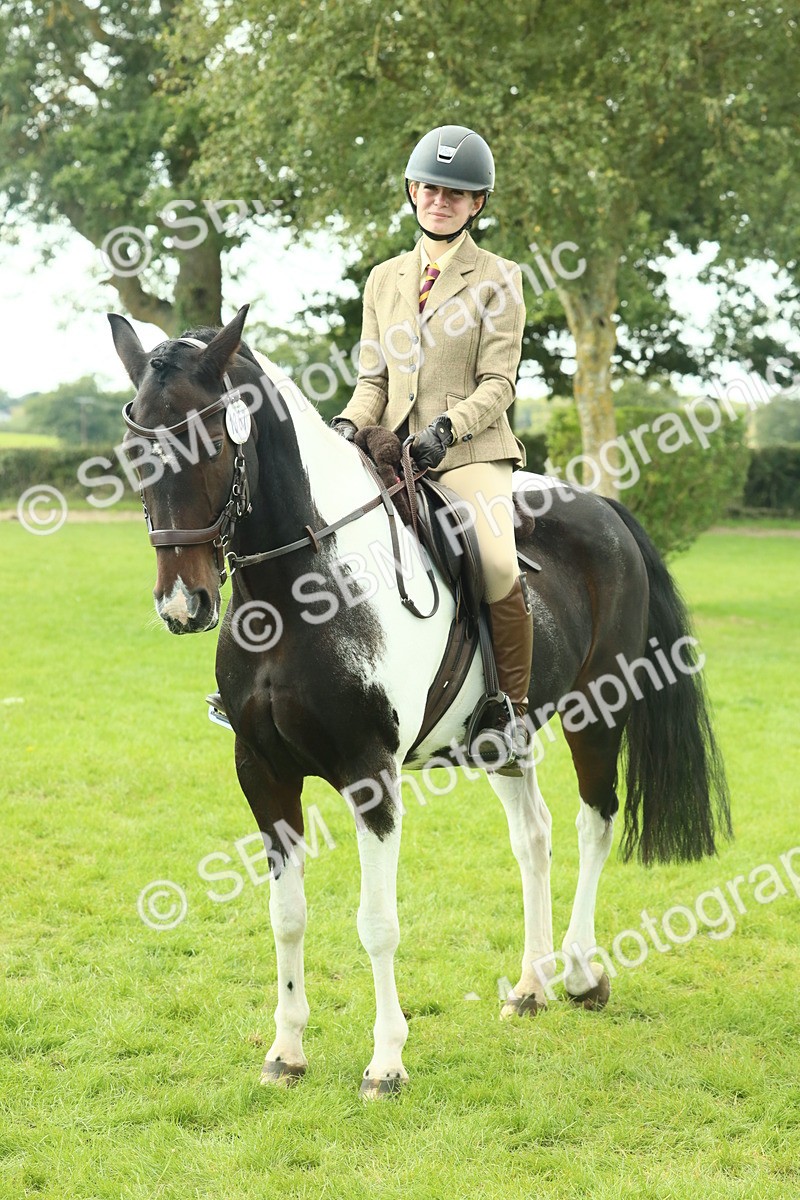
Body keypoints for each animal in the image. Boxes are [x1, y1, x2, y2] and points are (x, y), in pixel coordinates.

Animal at [109, 304, 731, 1098]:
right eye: (135, 447)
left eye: (213, 442)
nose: (183, 605)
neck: (297, 593)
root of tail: (603, 507)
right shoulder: (262, 772)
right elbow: (287, 916)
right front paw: (286, 1052)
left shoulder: (371, 774)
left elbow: (377, 923)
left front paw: (386, 1064)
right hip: (503, 738)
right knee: (534, 837)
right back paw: (530, 987)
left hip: (598, 712)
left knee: (595, 822)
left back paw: (581, 974)